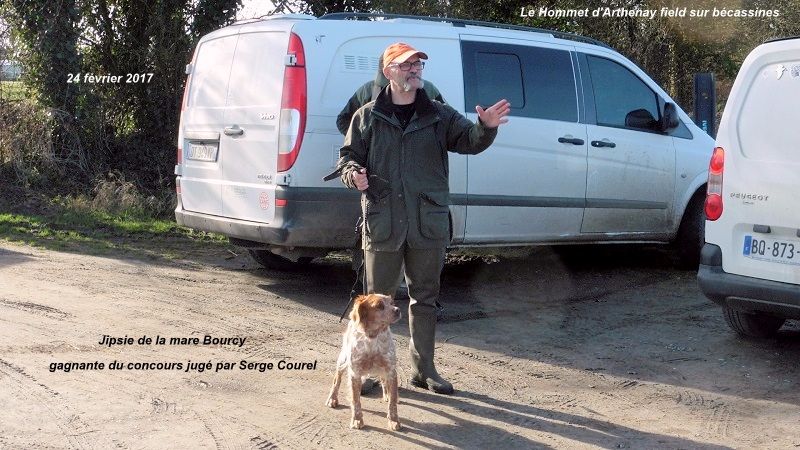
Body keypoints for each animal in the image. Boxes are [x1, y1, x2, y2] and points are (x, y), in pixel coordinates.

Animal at [324, 294, 400, 430]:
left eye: (392, 303)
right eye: (379, 305)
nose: (398, 310)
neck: (372, 337)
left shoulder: (391, 370)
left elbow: (393, 401)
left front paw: (393, 420)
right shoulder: (355, 372)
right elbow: (356, 401)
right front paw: (357, 419)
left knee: (384, 381)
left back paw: (386, 394)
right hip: (343, 359)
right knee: (336, 379)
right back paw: (332, 398)